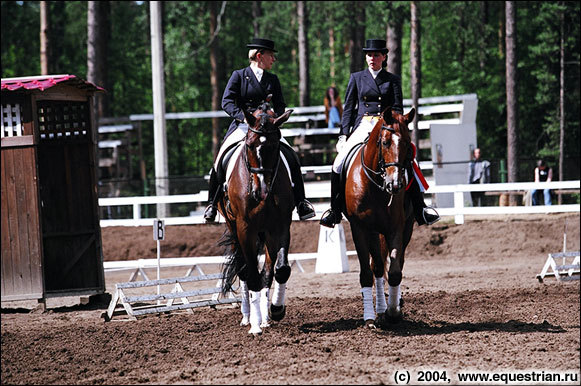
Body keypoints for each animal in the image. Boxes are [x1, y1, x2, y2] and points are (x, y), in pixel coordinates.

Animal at [221, 100, 296, 334]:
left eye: (274, 146)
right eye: (250, 145)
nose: (261, 191)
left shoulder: (281, 226)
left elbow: (280, 270)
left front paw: (276, 309)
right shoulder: (245, 229)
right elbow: (251, 273)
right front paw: (254, 325)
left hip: (266, 233)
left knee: (267, 271)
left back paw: (265, 316)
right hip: (235, 227)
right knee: (245, 270)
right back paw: (249, 317)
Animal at [342, 107, 414, 328]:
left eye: (407, 143)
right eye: (385, 142)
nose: (395, 184)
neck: (375, 184)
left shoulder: (396, 228)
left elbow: (395, 272)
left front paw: (393, 312)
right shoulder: (360, 228)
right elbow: (367, 273)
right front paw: (370, 318)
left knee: (387, 266)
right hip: (373, 232)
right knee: (377, 267)